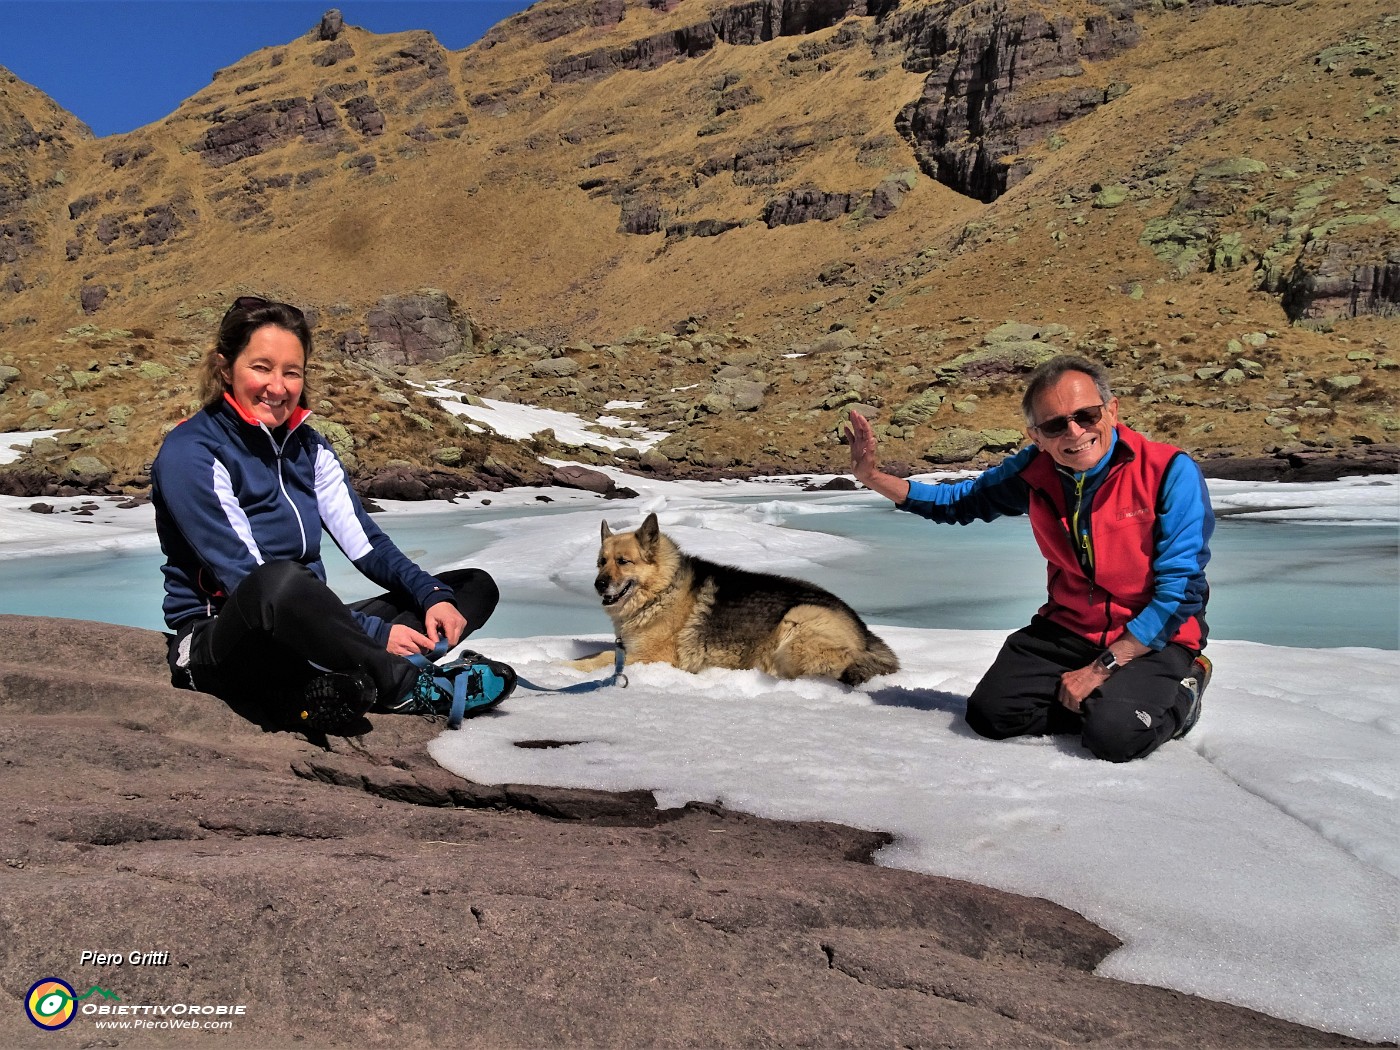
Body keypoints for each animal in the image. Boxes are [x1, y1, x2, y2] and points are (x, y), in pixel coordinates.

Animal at [574, 512, 901, 691]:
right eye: (601, 562)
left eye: (623, 561)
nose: (599, 584)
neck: (662, 591)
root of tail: (865, 634)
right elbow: (600, 655)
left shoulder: (652, 658)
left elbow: (600, 661)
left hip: (797, 620)